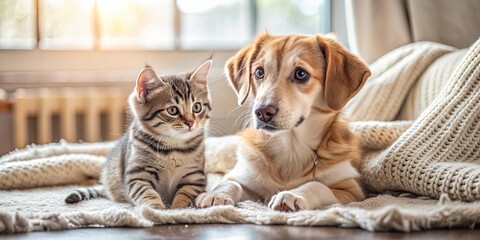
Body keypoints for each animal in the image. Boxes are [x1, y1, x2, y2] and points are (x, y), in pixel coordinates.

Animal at [65, 60, 212, 210]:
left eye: (197, 107)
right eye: (172, 110)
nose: (190, 122)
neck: (174, 147)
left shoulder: (195, 176)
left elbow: (185, 193)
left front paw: (179, 209)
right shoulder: (138, 175)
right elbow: (147, 193)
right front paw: (156, 209)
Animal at [197, 32, 370, 211]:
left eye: (301, 74)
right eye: (259, 72)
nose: (262, 112)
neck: (290, 145)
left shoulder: (352, 190)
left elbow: (317, 185)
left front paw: (292, 194)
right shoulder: (246, 177)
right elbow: (230, 183)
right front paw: (216, 194)